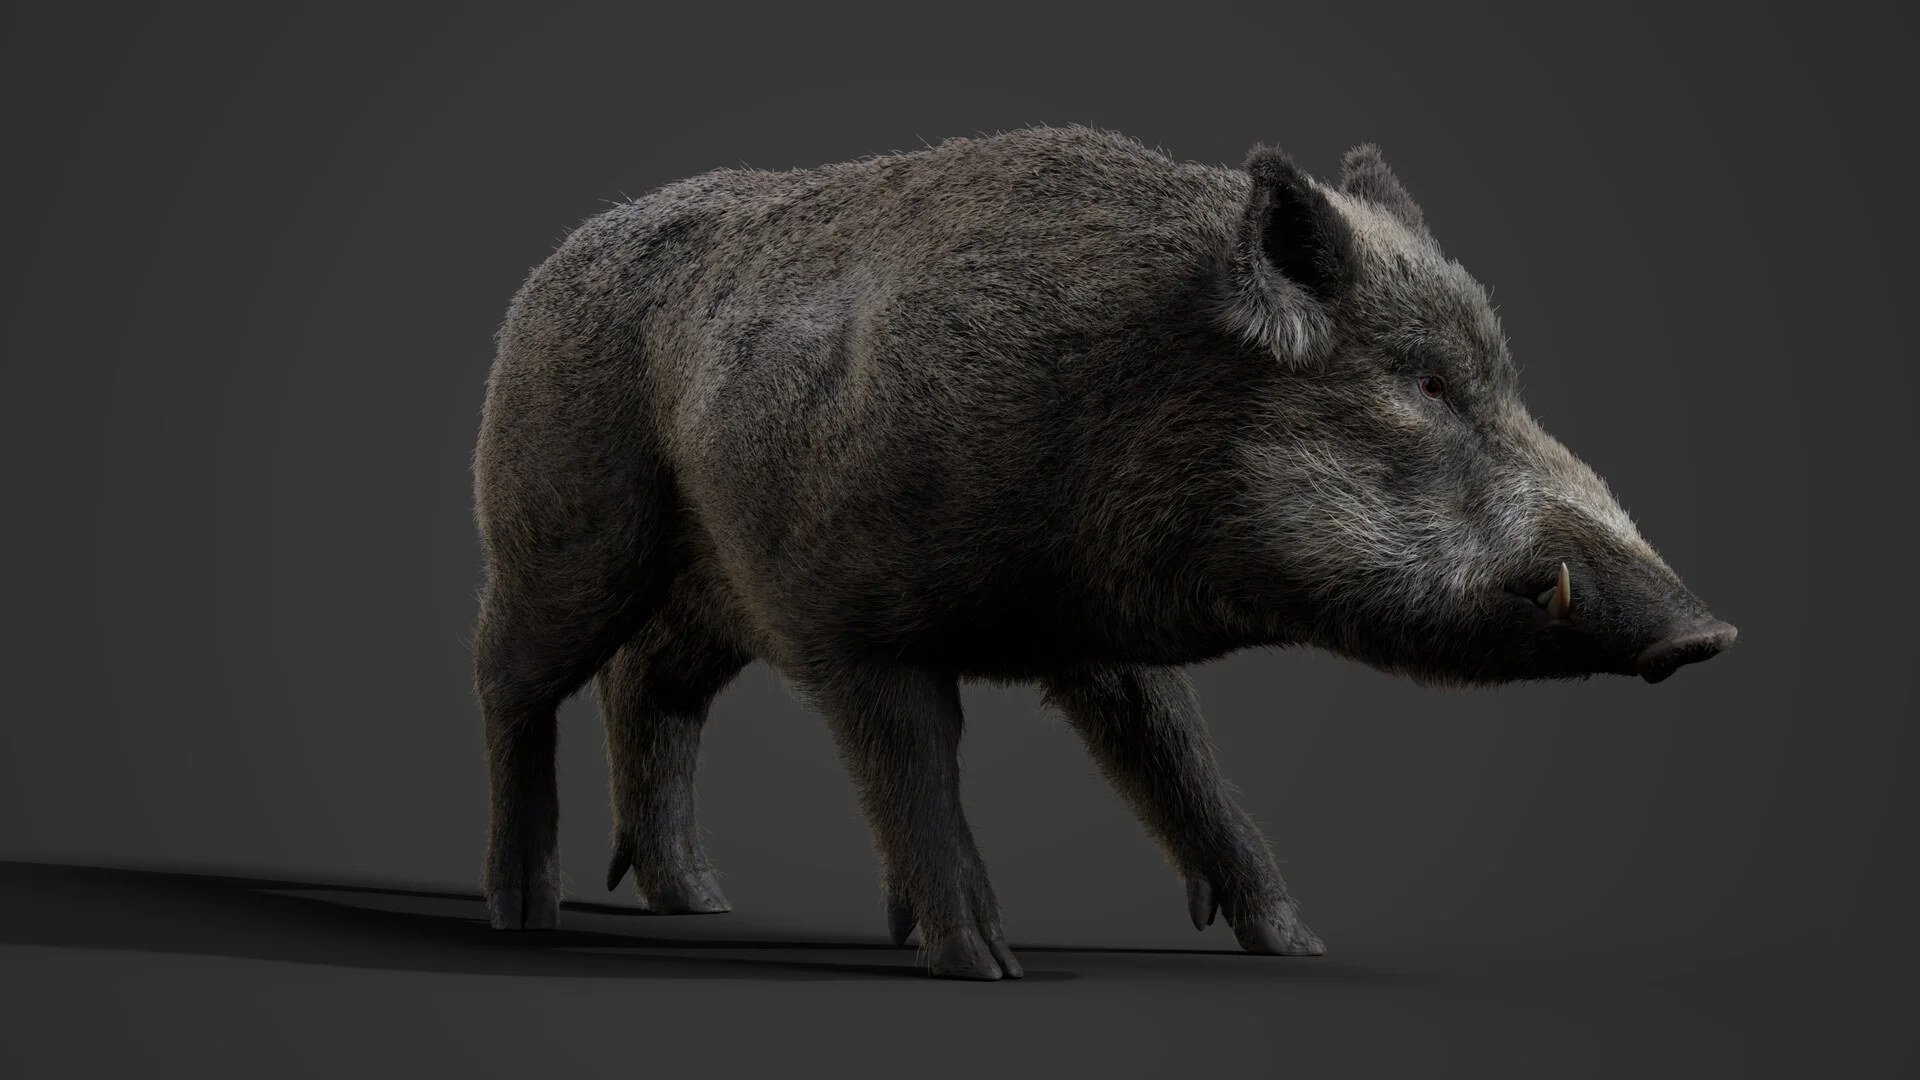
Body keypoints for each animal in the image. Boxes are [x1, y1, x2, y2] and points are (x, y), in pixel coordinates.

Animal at [471, 125, 1737, 981]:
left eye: (1502, 379)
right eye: (1424, 385)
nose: (1711, 630)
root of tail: (543, 271)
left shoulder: (1089, 644)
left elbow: (1179, 762)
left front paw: (1298, 945)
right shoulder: (848, 617)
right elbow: (919, 765)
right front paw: (987, 965)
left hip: (707, 595)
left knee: (647, 689)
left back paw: (701, 906)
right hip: (561, 530)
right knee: (510, 681)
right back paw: (524, 913)